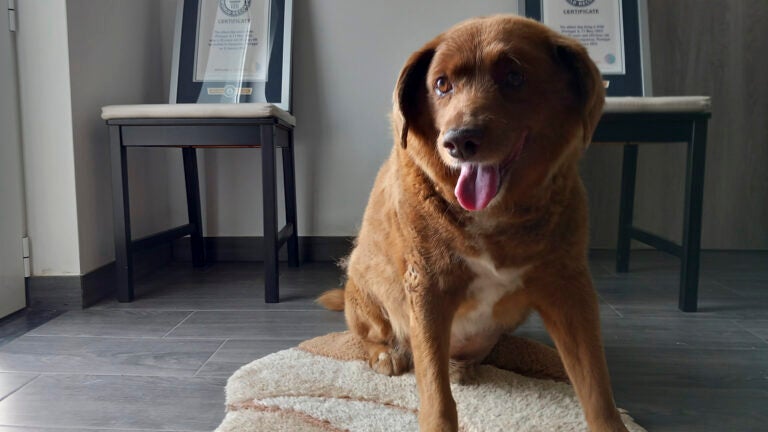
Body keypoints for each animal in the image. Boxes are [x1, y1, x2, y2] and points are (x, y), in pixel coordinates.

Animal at [320, 15, 628, 430]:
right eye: (441, 84)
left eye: (514, 76)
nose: (458, 141)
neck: (494, 215)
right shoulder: (428, 287)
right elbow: (436, 396)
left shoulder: (569, 287)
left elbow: (596, 388)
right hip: (365, 292)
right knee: (371, 335)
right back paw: (387, 353)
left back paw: (463, 366)